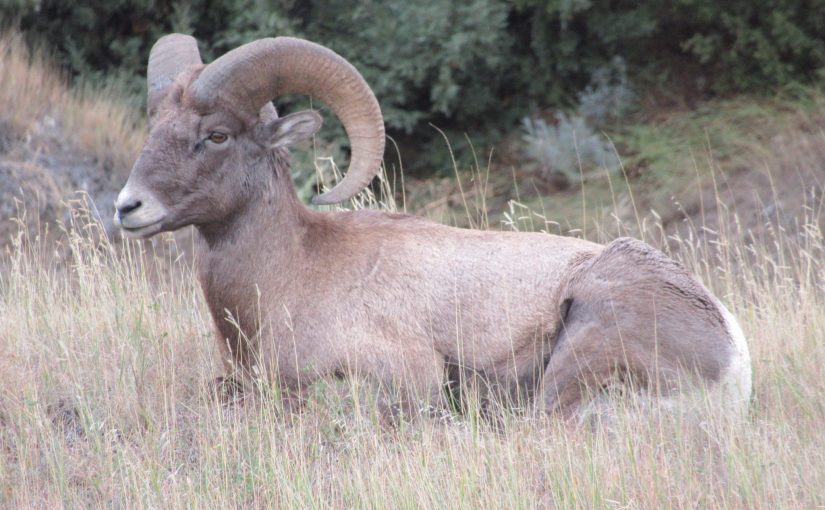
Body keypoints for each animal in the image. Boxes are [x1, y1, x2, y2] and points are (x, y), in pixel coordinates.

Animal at [112, 33, 748, 420]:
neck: (291, 273)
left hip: (575, 362)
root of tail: (733, 363)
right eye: (154, 127)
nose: (128, 207)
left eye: (216, 134)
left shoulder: (403, 380)